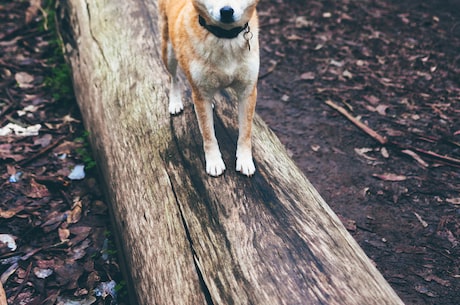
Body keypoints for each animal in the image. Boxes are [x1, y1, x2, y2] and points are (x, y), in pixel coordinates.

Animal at [158, 0, 258, 176]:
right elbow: (208, 134)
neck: (225, 37)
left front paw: (245, 160)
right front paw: (214, 161)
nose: (226, 11)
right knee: (174, 78)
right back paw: (175, 102)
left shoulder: (248, 92)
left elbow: (245, 133)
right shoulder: (200, 94)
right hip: (169, 53)